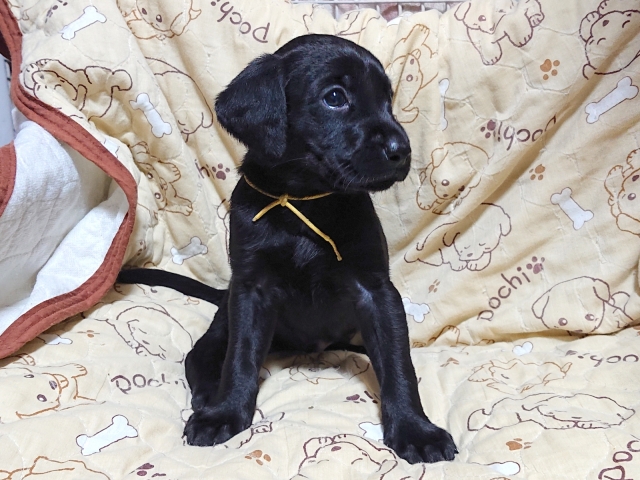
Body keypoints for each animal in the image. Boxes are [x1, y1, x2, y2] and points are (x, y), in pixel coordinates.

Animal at [118, 34, 457, 464]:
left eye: (387, 100)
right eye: (335, 97)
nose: (402, 150)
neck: (303, 202)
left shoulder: (376, 291)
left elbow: (398, 364)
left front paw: (416, 429)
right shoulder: (251, 290)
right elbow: (241, 358)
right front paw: (226, 412)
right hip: (225, 315)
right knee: (203, 355)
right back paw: (209, 395)